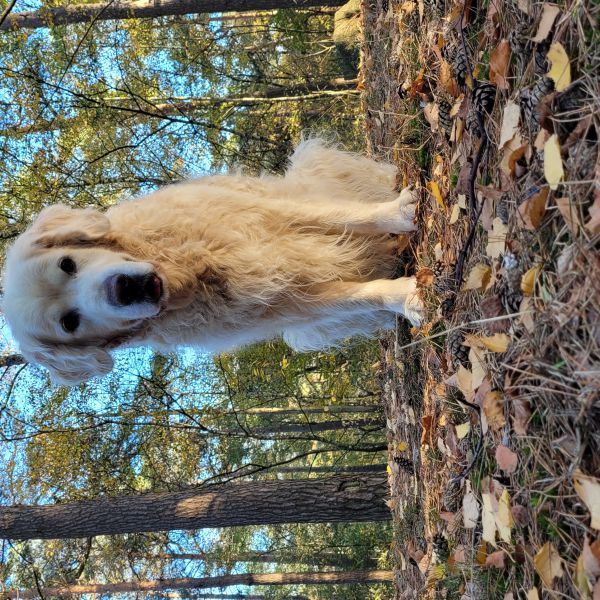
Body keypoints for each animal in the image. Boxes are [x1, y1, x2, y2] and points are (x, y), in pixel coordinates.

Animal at [2, 139, 422, 384]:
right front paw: (405, 297)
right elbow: (364, 294)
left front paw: (399, 213)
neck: (189, 271)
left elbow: (344, 216)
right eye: (69, 323)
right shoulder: (296, 304)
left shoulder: (270, 213)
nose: (124, 289)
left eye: (67, 263)